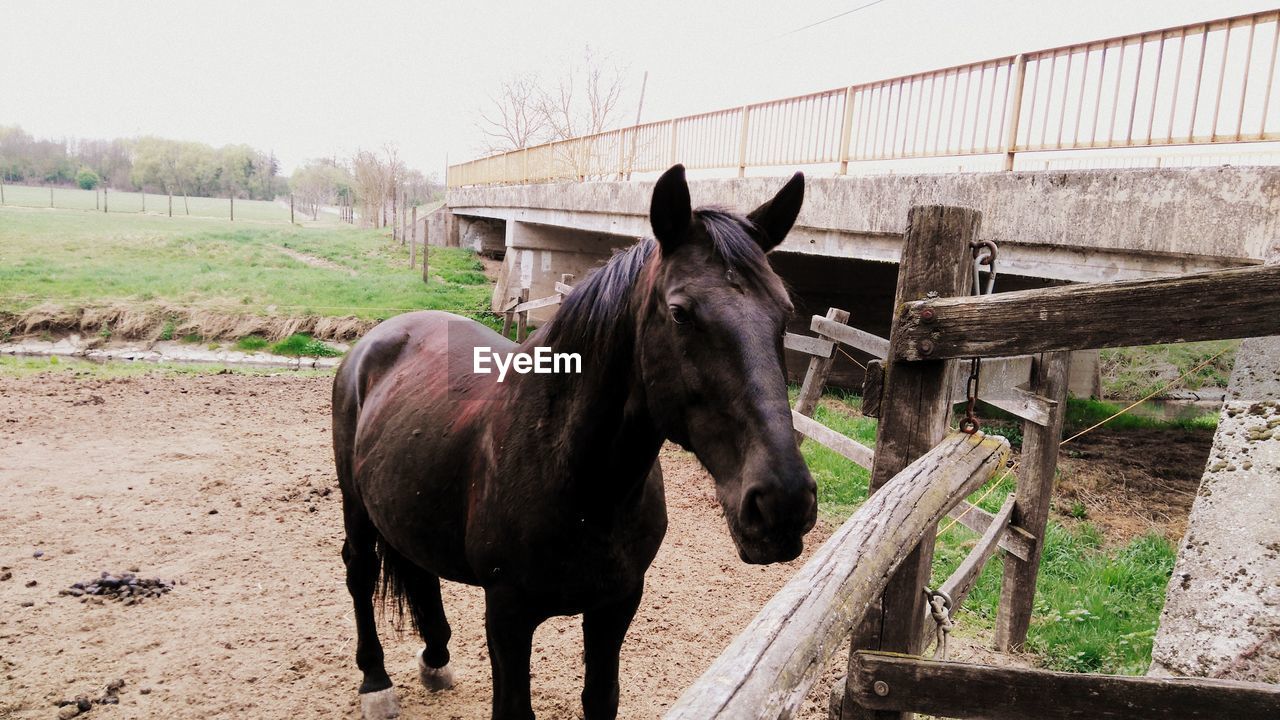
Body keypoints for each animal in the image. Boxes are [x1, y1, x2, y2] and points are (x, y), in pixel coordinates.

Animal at [335, 165, 814, 712]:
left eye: (784, 313)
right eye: (680, 313)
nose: (784, 502)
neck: (577, 479)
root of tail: (382, 335)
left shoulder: (617, 605)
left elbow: (601, 697)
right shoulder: (507, 617)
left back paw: (436, 658)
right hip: (355, 502)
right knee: (360, 569)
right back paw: (375, 681)